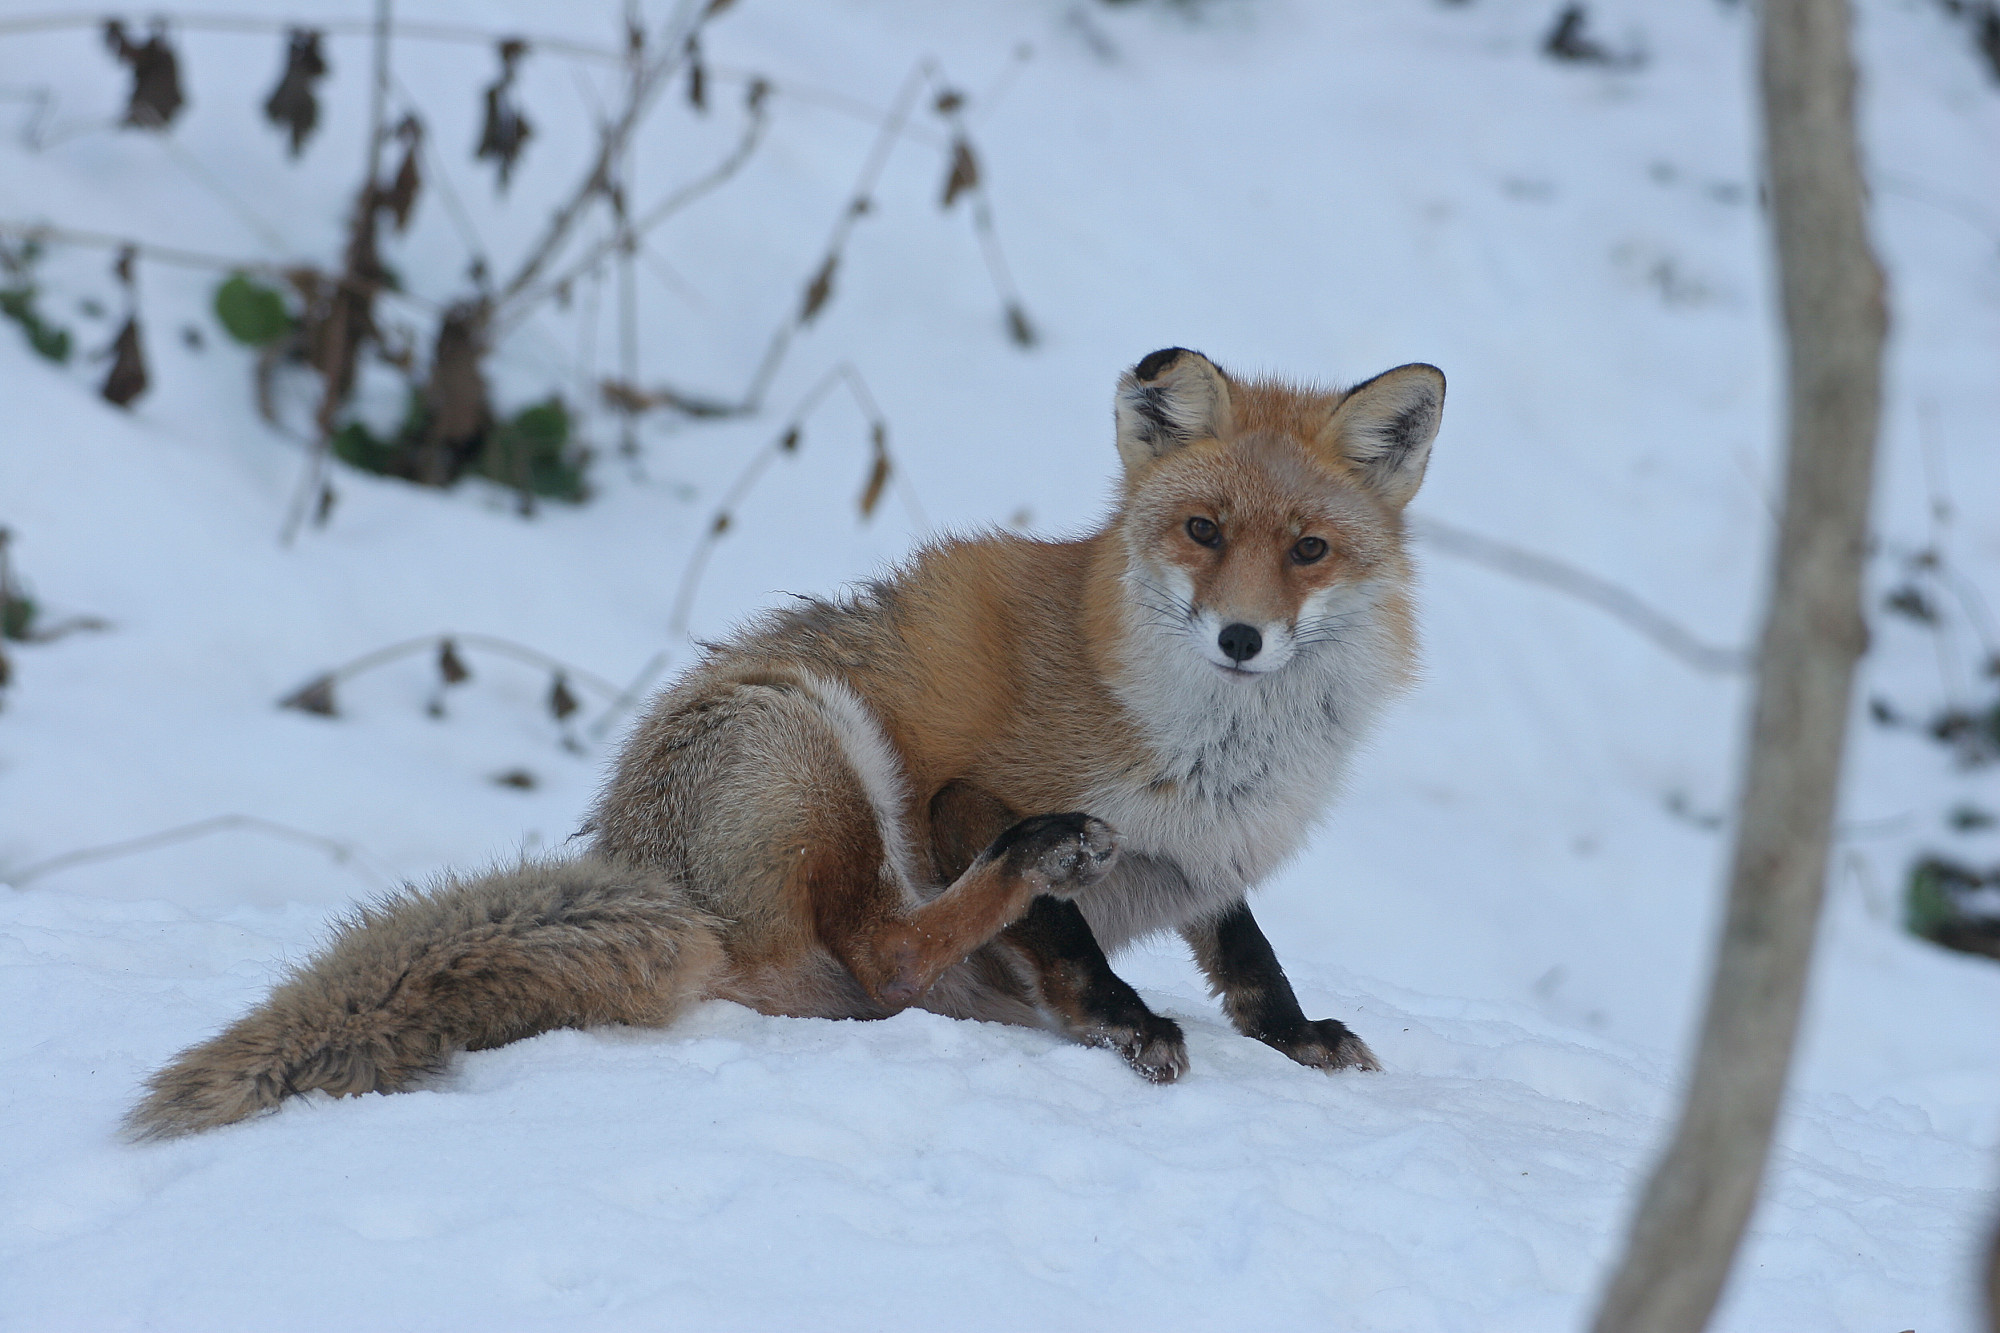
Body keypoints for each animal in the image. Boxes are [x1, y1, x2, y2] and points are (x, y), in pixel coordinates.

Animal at [121, 342, 1440, 1128]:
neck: (1219, 747)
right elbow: (1071, 941)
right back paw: (1022, 882)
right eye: (1202, 530)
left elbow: (1249, 958)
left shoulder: (1211, 856)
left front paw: (1297, 1035)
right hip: (811, 740)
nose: (1240, 638)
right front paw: (1123, 1021)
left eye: (1307, 550)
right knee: (883, 955)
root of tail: (661, 887)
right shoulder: (969, 792)